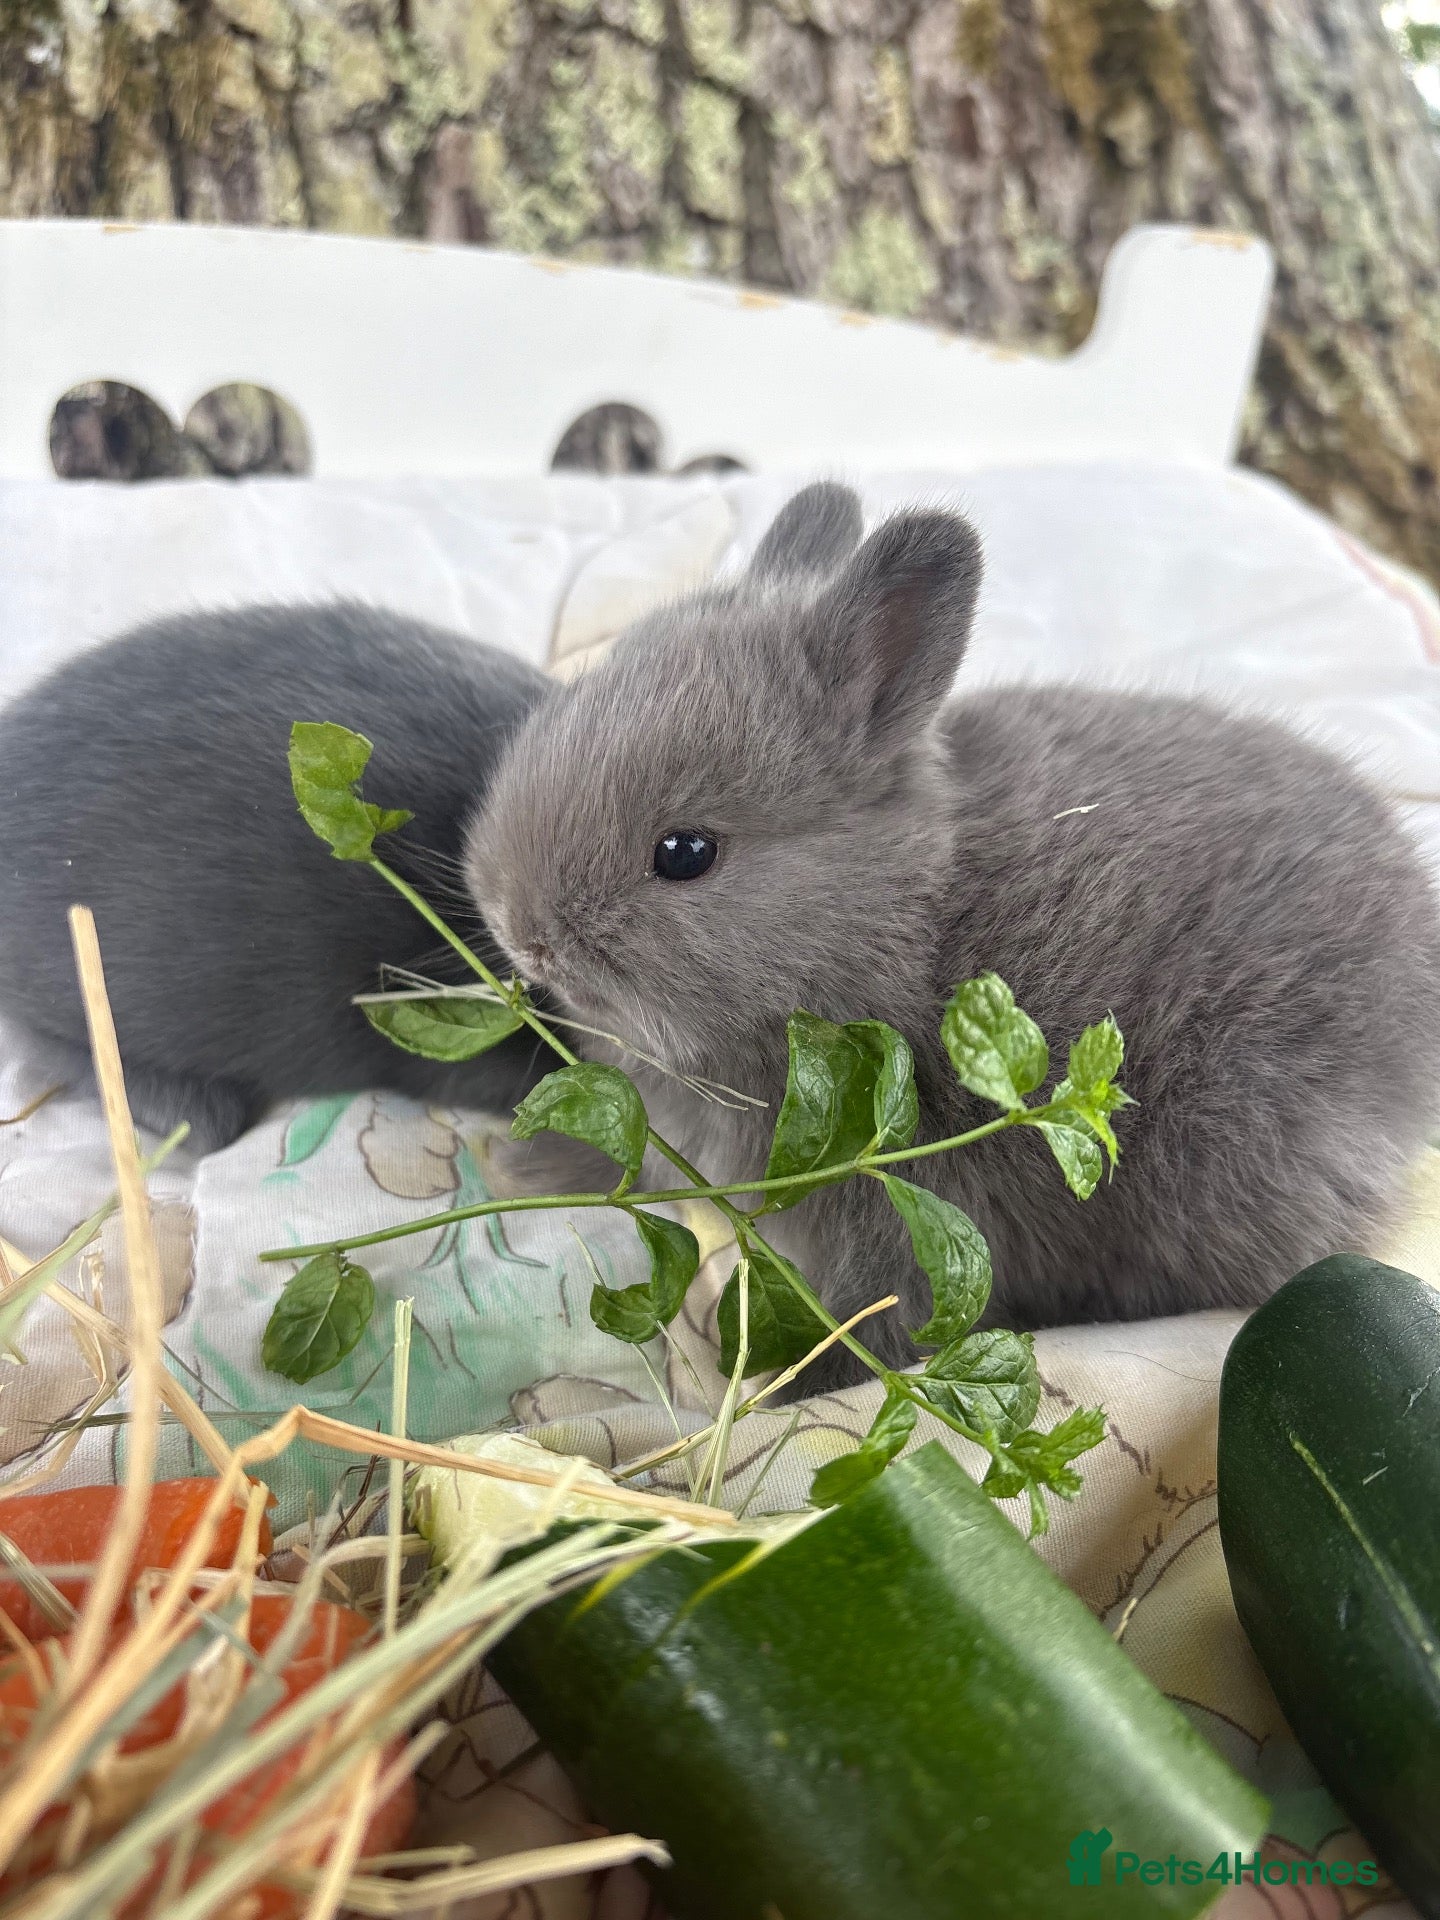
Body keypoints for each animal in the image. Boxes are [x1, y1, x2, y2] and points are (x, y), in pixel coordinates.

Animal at [463, 482, 1440, 1390]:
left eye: (685, 853)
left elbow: (876, 1314)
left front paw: (791, 1389)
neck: (902, 922)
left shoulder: (907, 1212)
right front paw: (522, 1167)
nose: (522, 933)